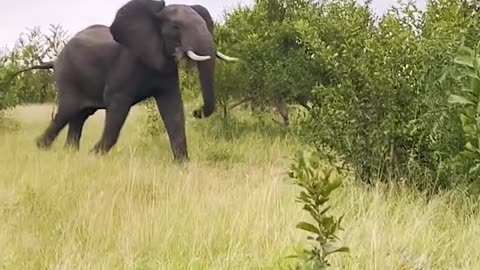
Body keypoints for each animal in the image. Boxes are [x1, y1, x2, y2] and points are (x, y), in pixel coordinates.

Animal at [10, 0, 244, 161]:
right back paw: (41, 147)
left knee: (79, 115)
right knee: (67, 111)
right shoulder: (126, 65)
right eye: (176, 27)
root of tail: (54, 60)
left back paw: (70, 153)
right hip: (67, 75)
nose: (197, 111)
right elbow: (117, 107)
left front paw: (183, 165)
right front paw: (94, 155)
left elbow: (173, 109)